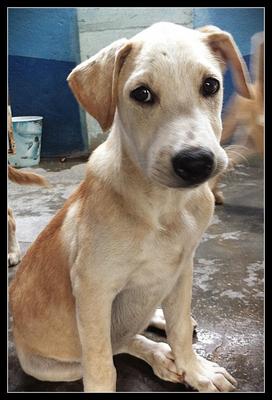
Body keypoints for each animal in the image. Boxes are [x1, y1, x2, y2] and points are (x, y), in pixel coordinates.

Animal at [8, 21, 252, 390]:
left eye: (210, 85)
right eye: (142, 94)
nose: (196, 163)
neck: (165, 206)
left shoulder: (182, 267)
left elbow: (180, 328)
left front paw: (196, 371)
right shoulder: (93, 290)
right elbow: (101, 365)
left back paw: (160, 331)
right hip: (50, 365)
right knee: (119, 344)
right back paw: (160, 357)